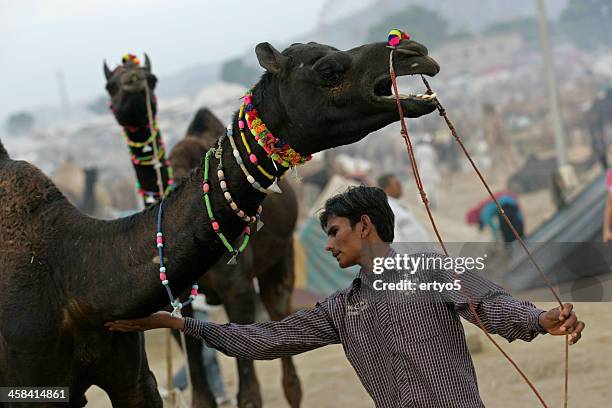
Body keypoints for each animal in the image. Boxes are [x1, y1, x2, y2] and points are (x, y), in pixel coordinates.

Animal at [0, 36, 440, 406]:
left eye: (152, 79)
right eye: (329, 69)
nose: (414, 52)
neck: (75, 276)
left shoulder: (214, 310)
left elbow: (248, 390)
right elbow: (202, 393)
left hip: (280, 266)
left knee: (287, 362)